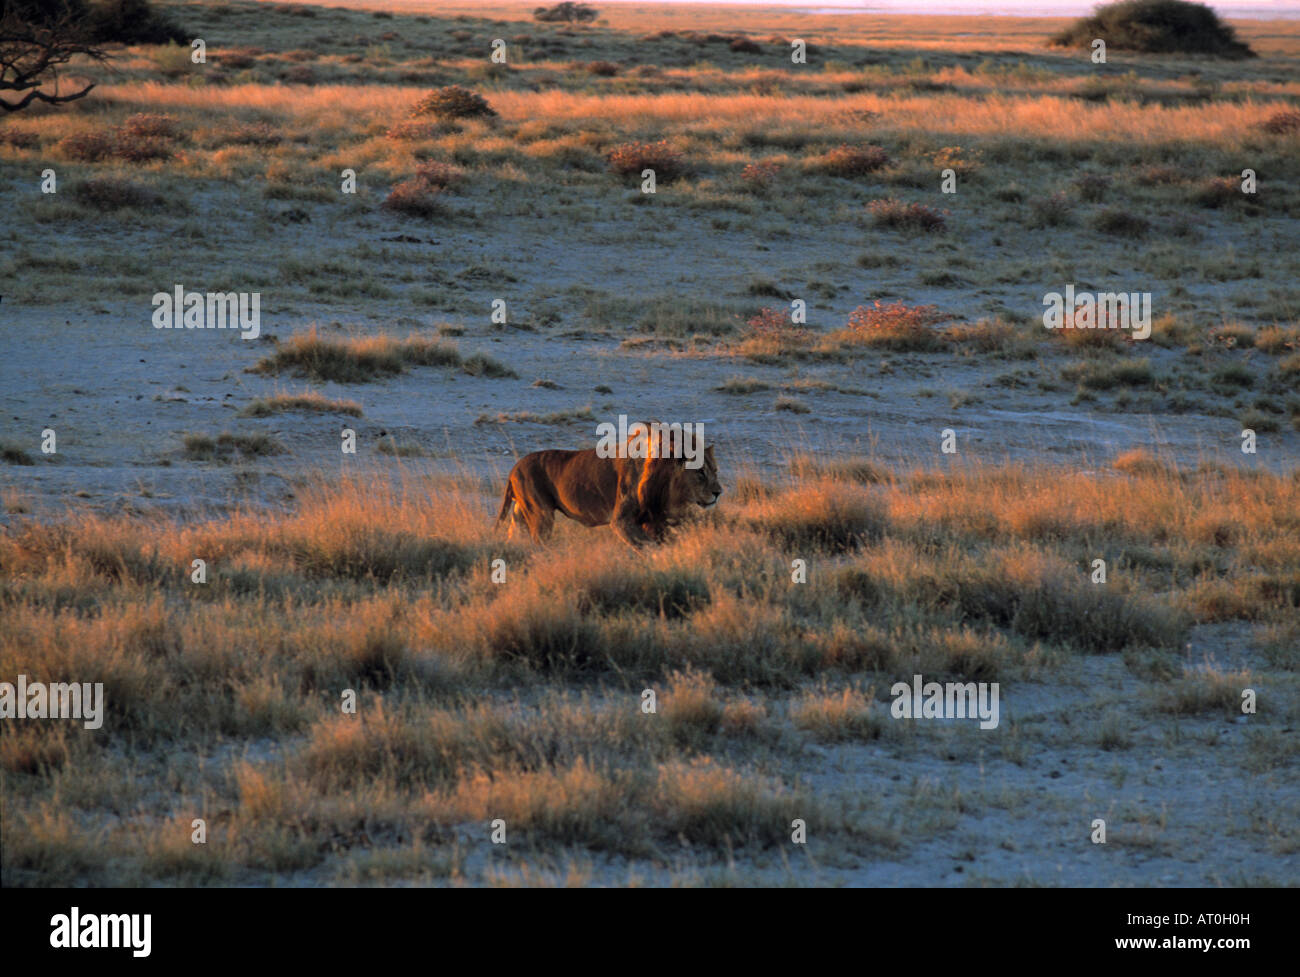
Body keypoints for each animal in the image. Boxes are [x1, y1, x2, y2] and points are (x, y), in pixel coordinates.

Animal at [493, 426, 722, 550]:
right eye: (700, 473)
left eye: (715, 470)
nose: (718, 493)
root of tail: (514, 468)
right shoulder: (621, 521)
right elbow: (648, 547)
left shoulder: (654, 521)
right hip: (541, 515)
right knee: (538, 544)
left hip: (521, 514)